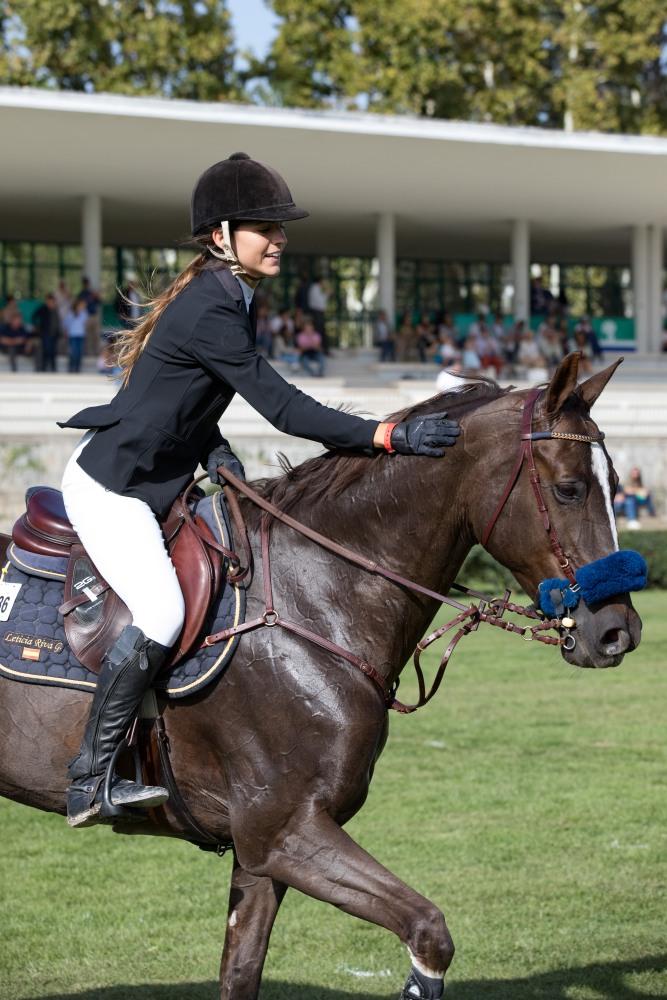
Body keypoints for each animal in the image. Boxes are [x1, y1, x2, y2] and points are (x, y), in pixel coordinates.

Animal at [0, 356, 640, 996]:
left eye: (615, 485)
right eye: (569, 489)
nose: (619, 632)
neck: (315, 596)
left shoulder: (262, 854)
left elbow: (241, 972)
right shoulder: (285, 830)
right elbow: (430, 931)